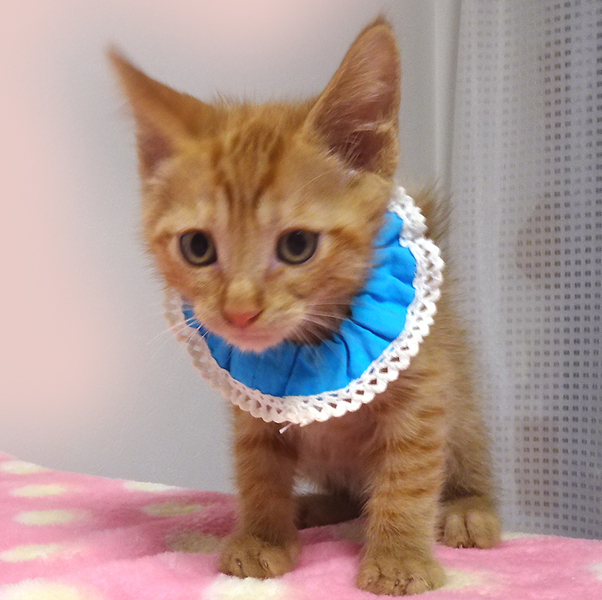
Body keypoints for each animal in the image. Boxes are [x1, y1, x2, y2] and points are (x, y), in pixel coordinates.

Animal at [109, 17, 501, 596]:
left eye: (298, 246)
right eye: (197, 247)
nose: (239, 311)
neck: (312, 341)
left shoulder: (423, 394)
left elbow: (407, 476)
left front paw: (399, 557)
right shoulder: (253, 407)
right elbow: (258, 471)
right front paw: (263, 537)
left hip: (464, 406)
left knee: (462, 466)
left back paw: (469, 509)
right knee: (348, 495)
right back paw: (314, 506)